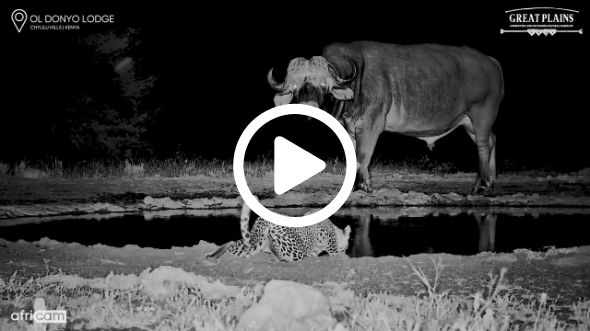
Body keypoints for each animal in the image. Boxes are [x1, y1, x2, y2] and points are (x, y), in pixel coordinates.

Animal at [207, 197, 352, 262]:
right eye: (345, 248)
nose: (346, 251)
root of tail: (263, 220)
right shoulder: (330, 245)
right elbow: (335, 254)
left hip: (253, 241)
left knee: (233, 245)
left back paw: (214, 254)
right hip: (297, 249)